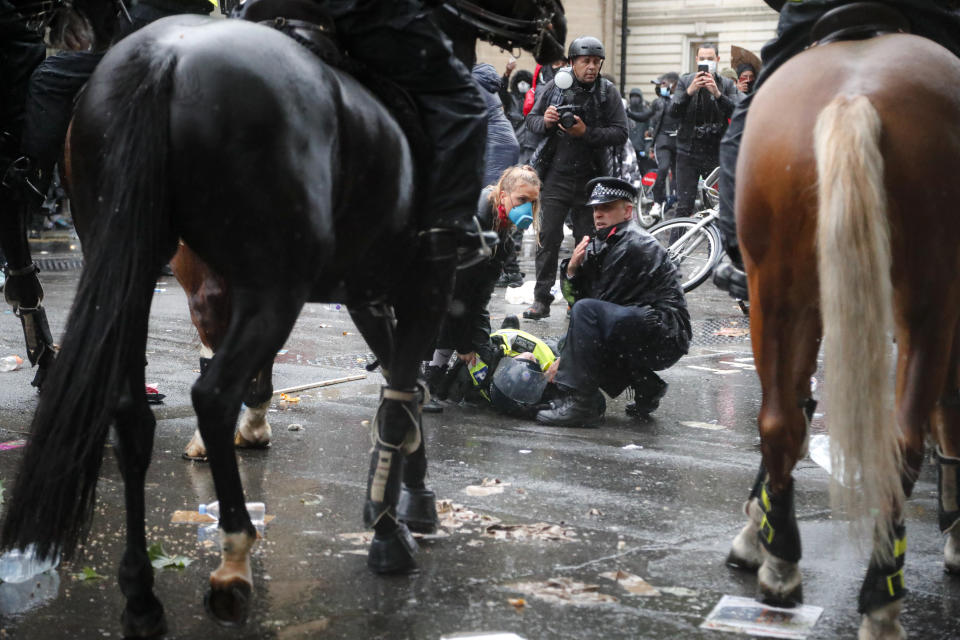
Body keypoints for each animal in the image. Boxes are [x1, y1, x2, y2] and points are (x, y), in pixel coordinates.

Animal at [1, 0, 564, 632]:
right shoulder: (425, 285)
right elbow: (400, 401)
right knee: (212, 394)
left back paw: (142, 594)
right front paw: (387, 530)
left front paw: (413, 502)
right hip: (273, 287)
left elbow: (405, 393)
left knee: (130, 414)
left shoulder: (368, 295)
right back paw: (233, 559)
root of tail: (163, 61)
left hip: (131, 265)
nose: (559, 34)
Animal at [724, 33, 960, 640]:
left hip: (782, 292)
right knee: (896, 439)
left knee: (784, 421)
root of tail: (856, 96)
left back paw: (788, 567)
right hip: (923, 299)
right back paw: (874, 595)